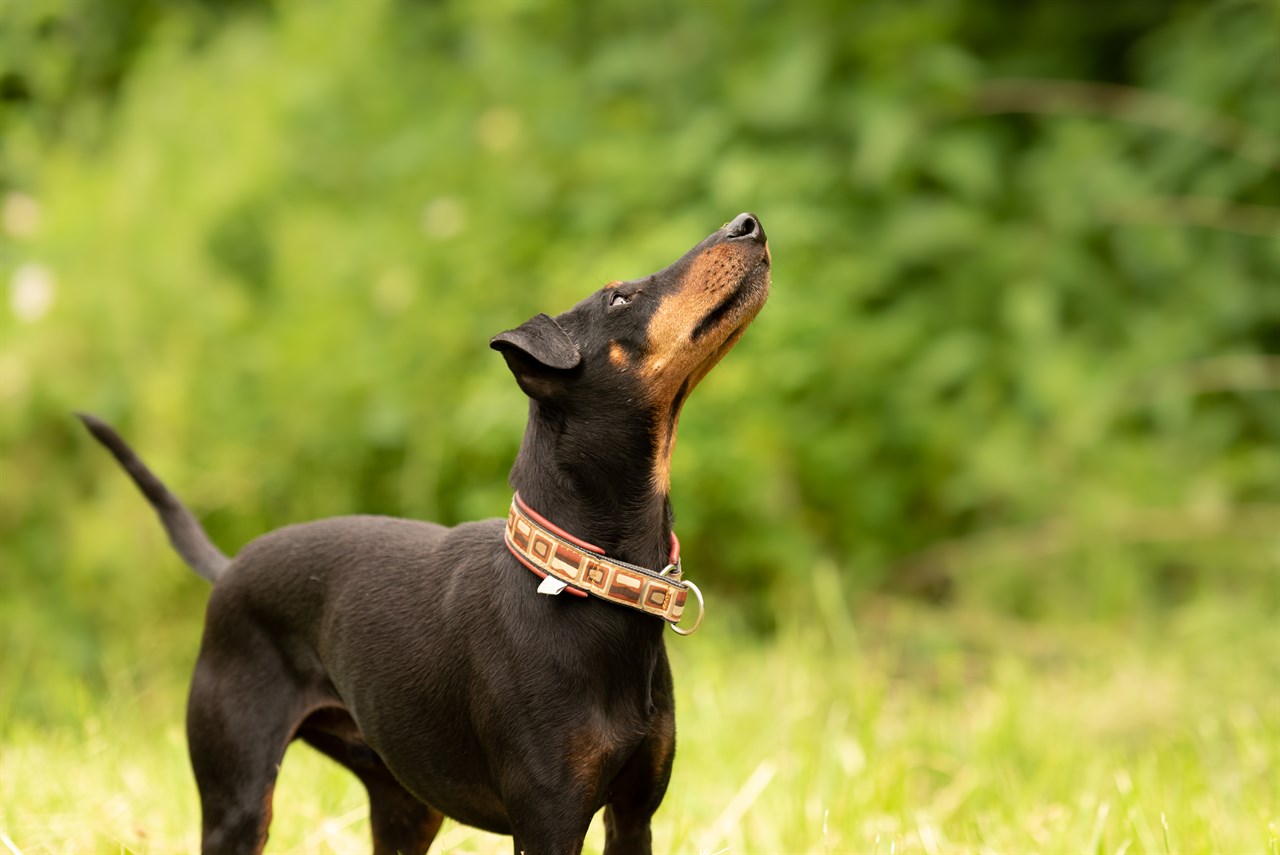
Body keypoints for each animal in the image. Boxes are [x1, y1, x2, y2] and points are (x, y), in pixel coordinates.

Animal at [82, 209, 768, 849]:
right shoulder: (547, 821)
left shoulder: (634, 815)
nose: (748, 225)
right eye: (619, 298)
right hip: (239, 801)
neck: (585, 577)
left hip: (403, 806)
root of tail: (229, 569)